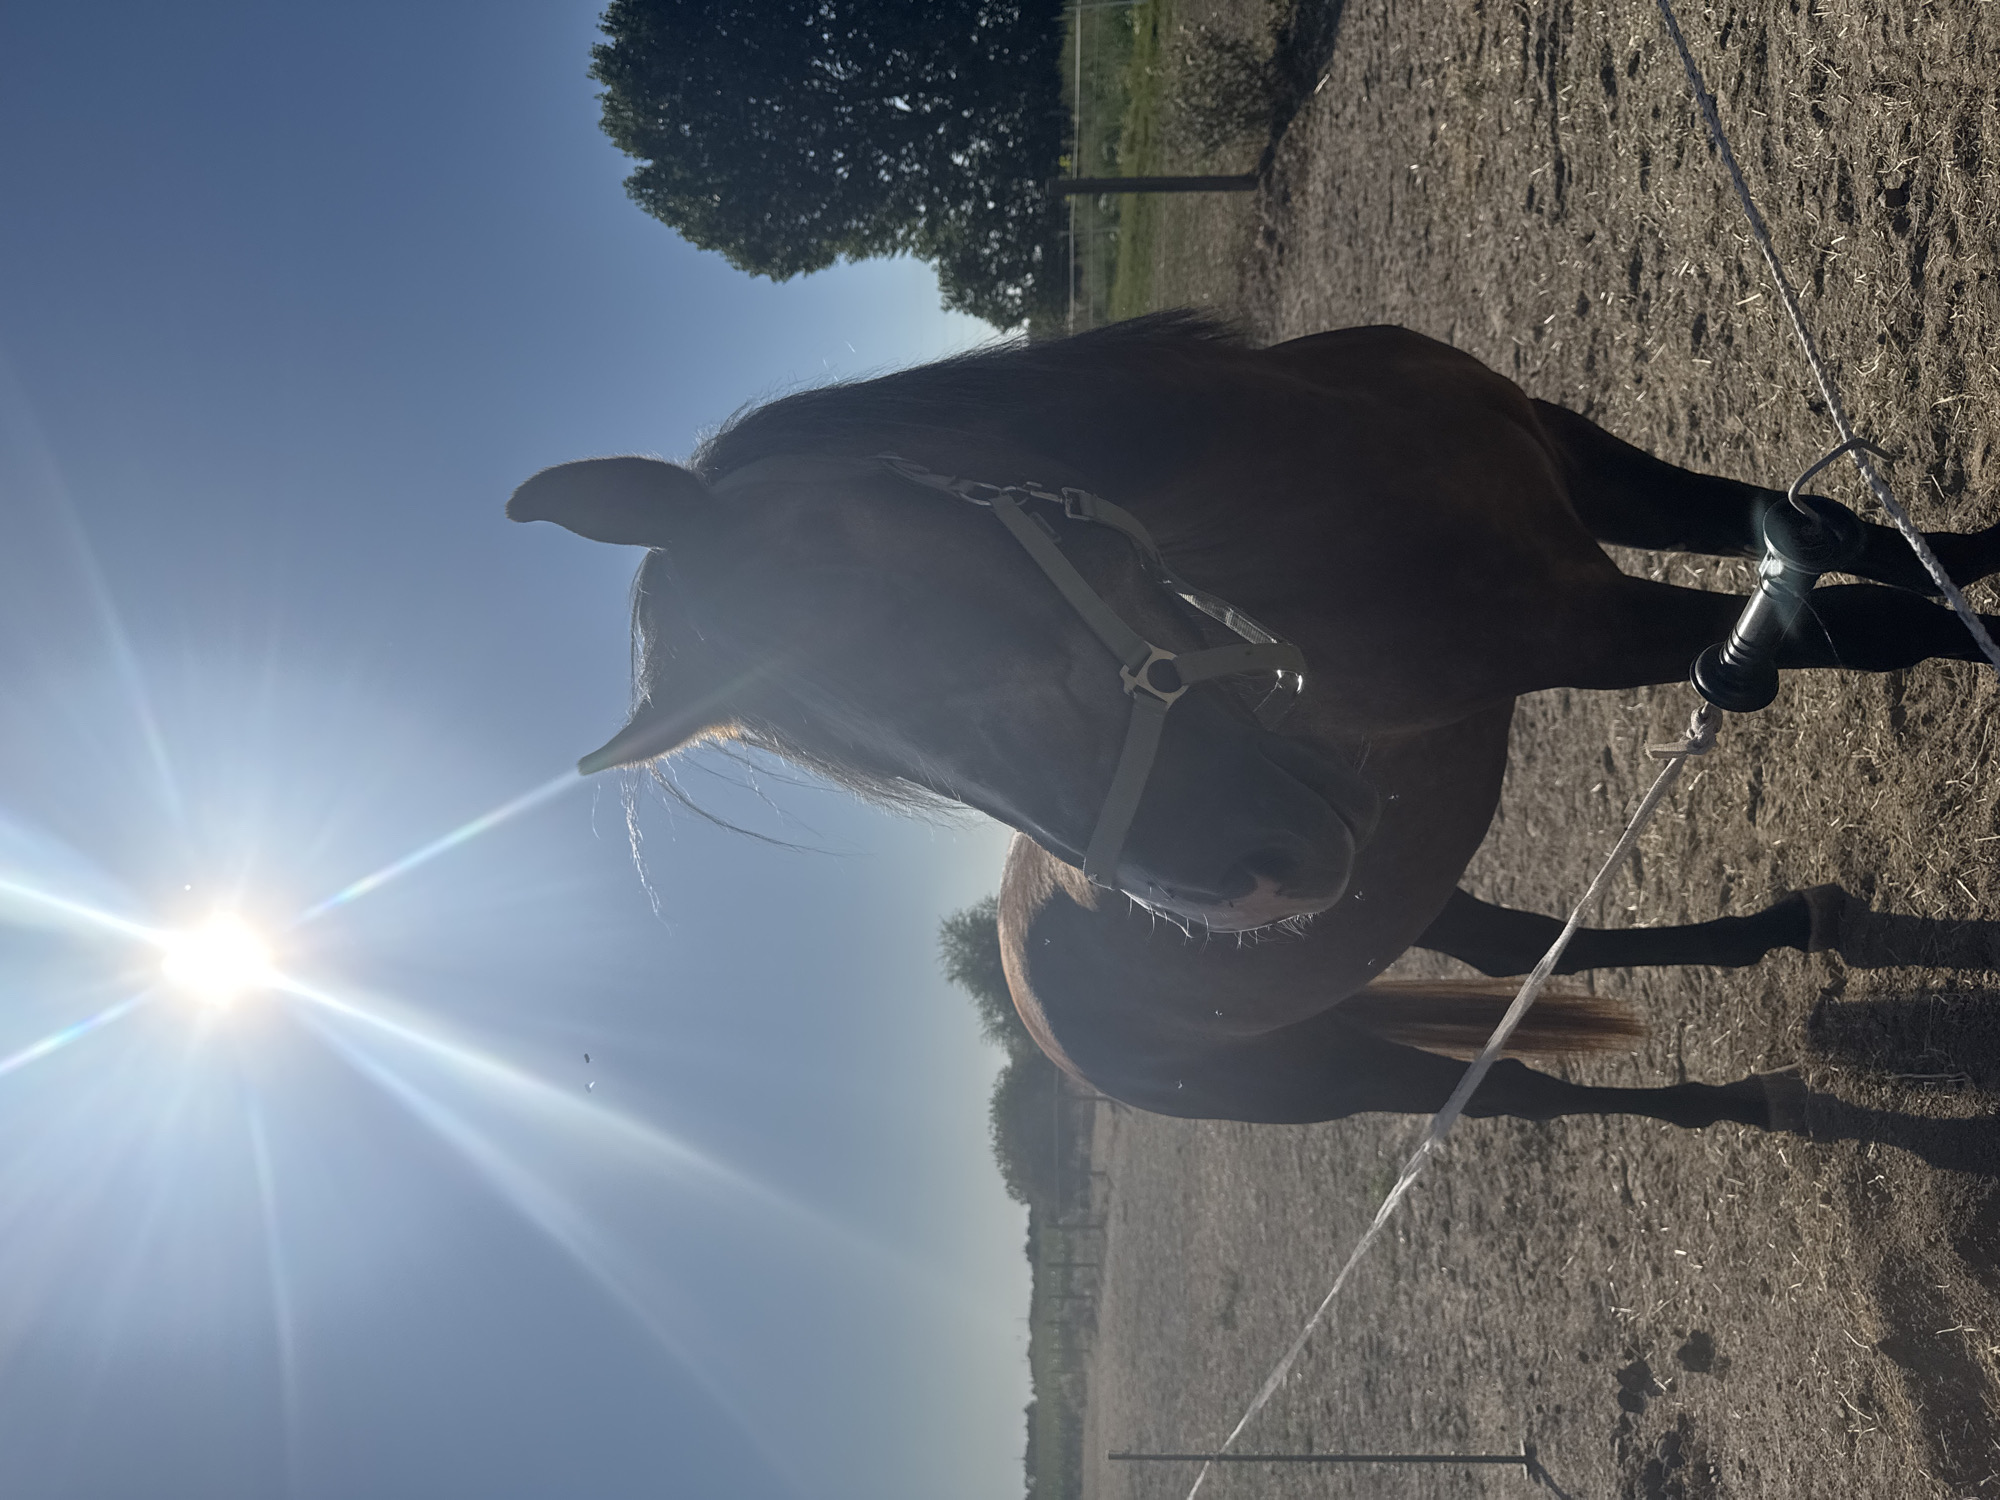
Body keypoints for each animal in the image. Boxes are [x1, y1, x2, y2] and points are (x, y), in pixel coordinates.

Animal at [509, 314, 2000, 1130]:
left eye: (900, 654)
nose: (1237, 891)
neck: (1308, 479)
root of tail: (1036, 1006)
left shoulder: (1577, 463)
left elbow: (1838, 536)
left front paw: (1967, 546)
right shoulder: (1589, 629)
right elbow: (1875, 629)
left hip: (1395, 884)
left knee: (1510, 943)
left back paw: (1788, 930)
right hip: (1333, 1071)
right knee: (1531, 1090)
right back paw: (1755, 1099)